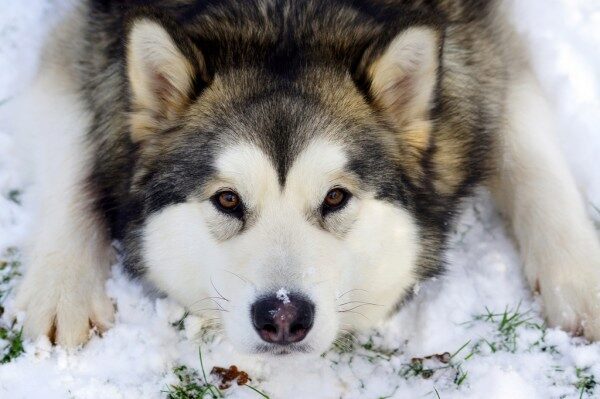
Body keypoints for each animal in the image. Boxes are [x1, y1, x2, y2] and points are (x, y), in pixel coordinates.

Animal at [10, 0, 600, 356]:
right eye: (228, 200)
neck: (286, 15)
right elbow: (74, 153)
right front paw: (62, 289)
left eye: (336, 197)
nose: (283, 316)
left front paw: (581, 281)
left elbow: (531, 157)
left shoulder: (484, 44)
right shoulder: (85, 40)